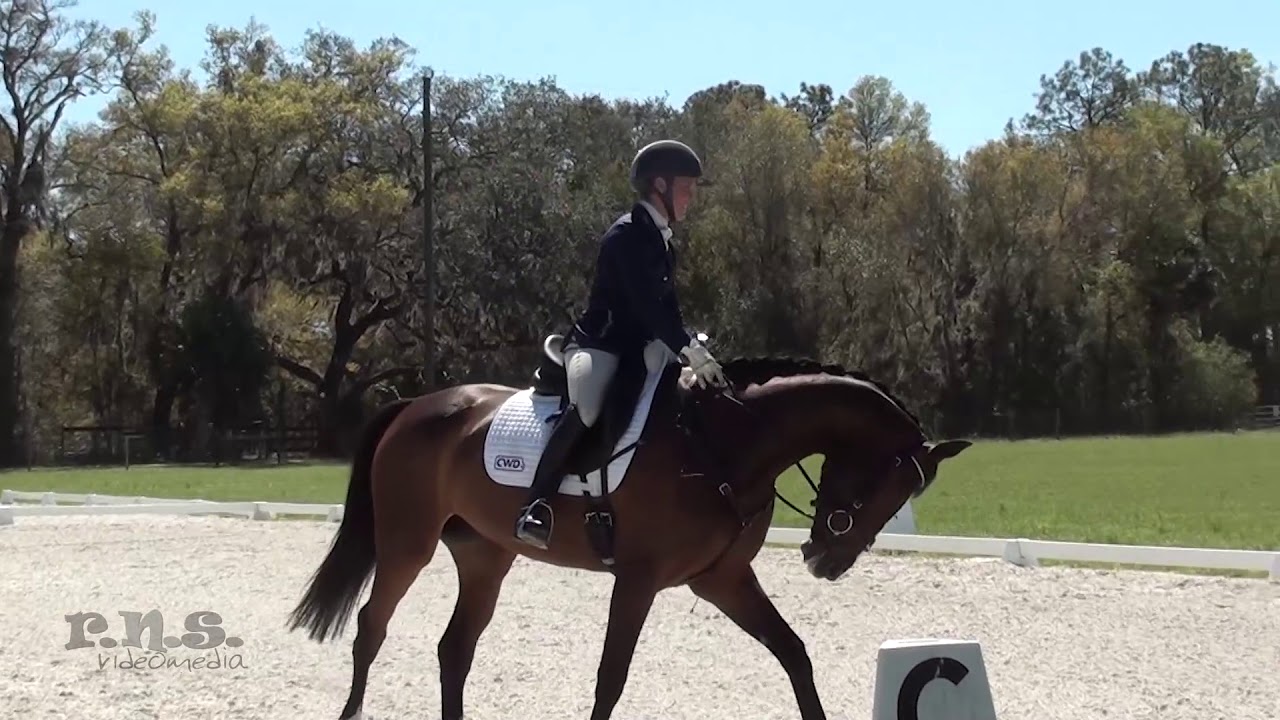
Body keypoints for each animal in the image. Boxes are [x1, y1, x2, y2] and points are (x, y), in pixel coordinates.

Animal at [286, 334, 973, 720]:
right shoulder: (638, 580)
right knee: (371, 626)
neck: (721, 443)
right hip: (408, 544)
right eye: (885, 485)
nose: (826, 561)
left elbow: (794, 655)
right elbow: (609, 681)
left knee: (454, 648)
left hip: (484, 557)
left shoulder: (721, 579)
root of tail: (416, 406)